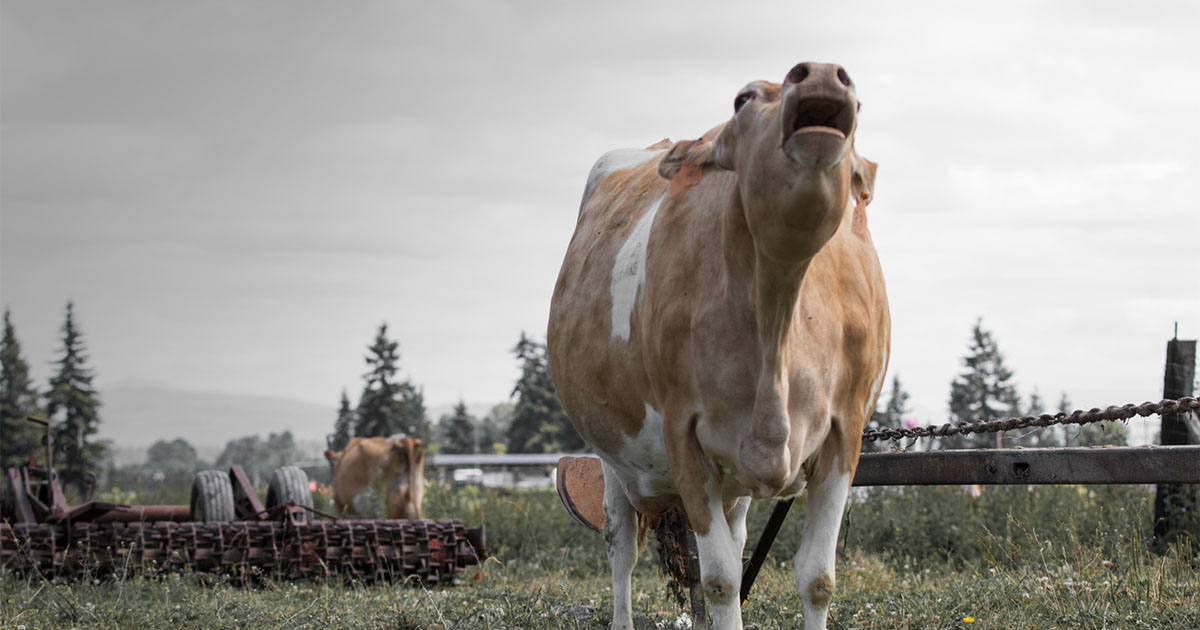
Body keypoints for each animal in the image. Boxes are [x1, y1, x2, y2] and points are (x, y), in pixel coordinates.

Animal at [547, 62, 890, 630]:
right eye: (742, 100)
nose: (820, 73)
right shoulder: (684, 436)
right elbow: (722, 579)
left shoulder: (845, 434)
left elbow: (817, 577)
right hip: (613, 453)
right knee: (621, 544)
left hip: (733, 487)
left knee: (734, 533)